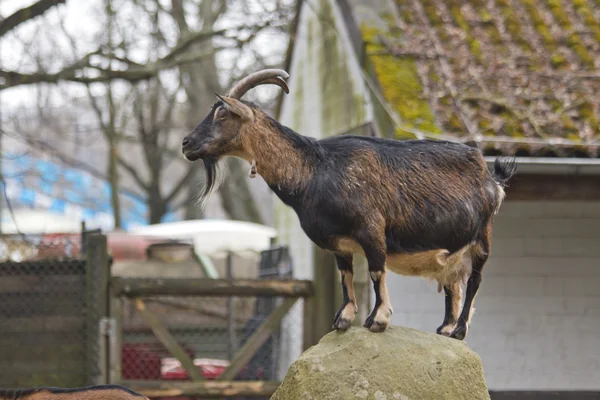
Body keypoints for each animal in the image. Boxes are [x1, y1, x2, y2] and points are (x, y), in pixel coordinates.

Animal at [182, 69, 516, 340]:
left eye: (222, 115)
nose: (186, 143)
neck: (315, 169)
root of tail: (492, 178)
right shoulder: (338, 242)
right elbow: (346, 276)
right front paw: (342, 319)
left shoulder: (372, 230)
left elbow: (376, 272)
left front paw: (377, 320)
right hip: (452, 247)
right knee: (452, 284)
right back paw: (445, 328)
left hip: (481, 239)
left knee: (474, 280)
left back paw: (459, 330)